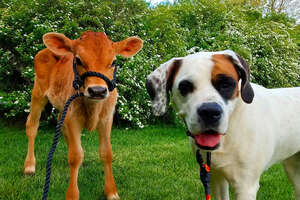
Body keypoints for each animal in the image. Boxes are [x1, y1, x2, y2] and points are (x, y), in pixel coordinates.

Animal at [23, 30, 143, 199]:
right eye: (78, 60)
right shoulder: (73, 118)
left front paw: (111, 192)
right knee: (32, 125)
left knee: (61, 124)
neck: (93, 108)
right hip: (38, 92)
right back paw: (29, 166)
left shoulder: (107, 118)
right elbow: (75, 156)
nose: (98, 91)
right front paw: (72, 195)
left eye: (113, 62)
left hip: (62, 106)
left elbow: (107, 153)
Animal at [145, 49, 300, 198]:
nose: (209, 111)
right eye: (185, 88)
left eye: (226, 85)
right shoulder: (215, 178)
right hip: (292, 166)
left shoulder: (245, 187)